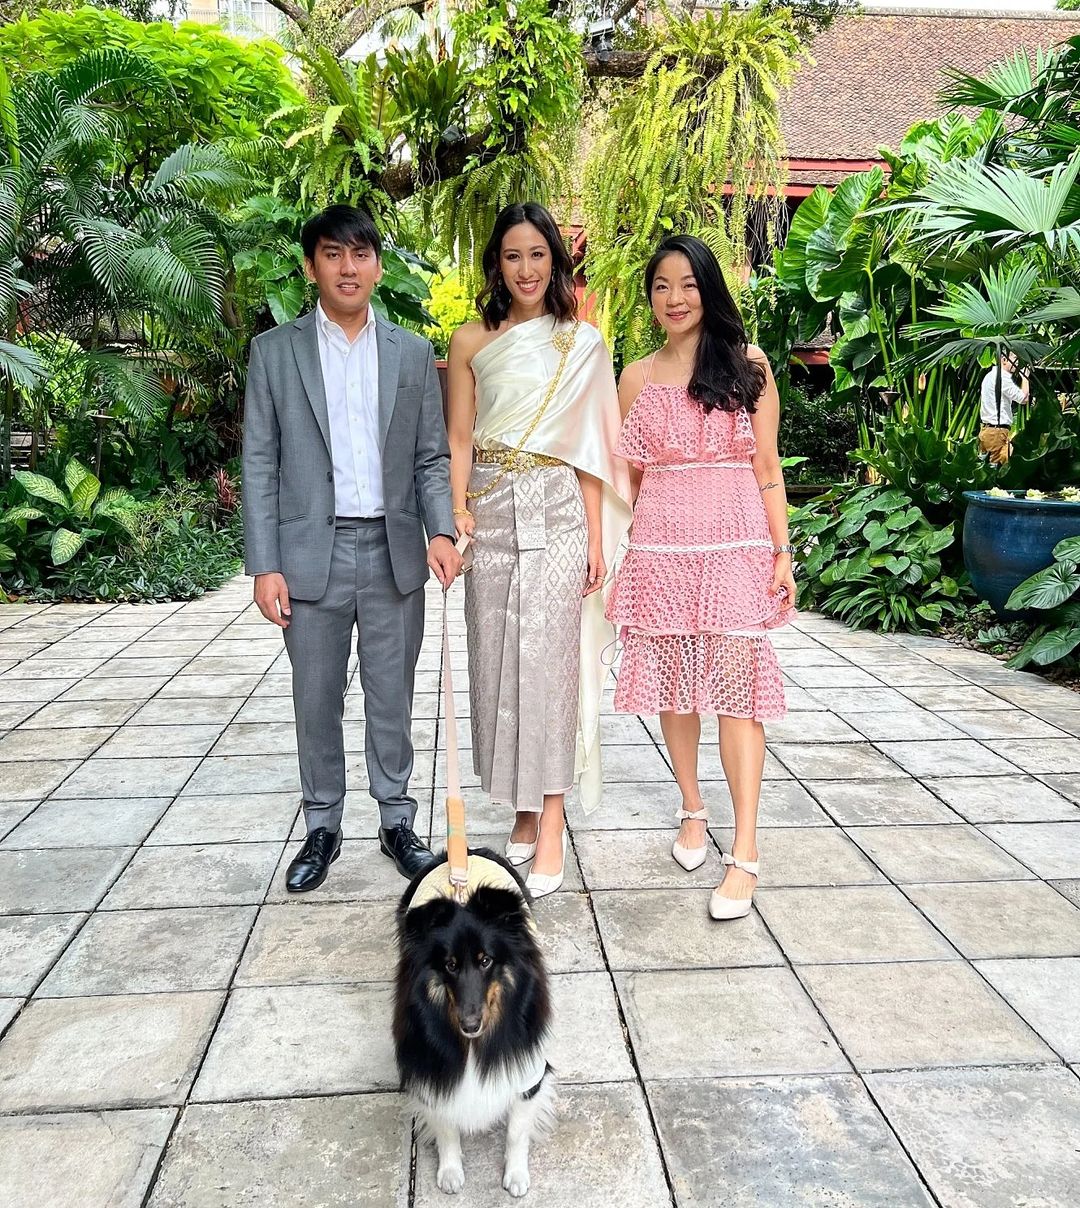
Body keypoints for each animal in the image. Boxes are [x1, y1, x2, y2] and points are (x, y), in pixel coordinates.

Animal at [393, 848, 555, 1197]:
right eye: (450, 965)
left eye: (485, 961)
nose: (470, 1025)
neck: (472, 1044)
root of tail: (467, 851)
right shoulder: (434, 1075)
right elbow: (446, 1129)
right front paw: (450, 1172)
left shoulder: (528, 1074)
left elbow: (516, 1132)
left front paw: (516, 1176)